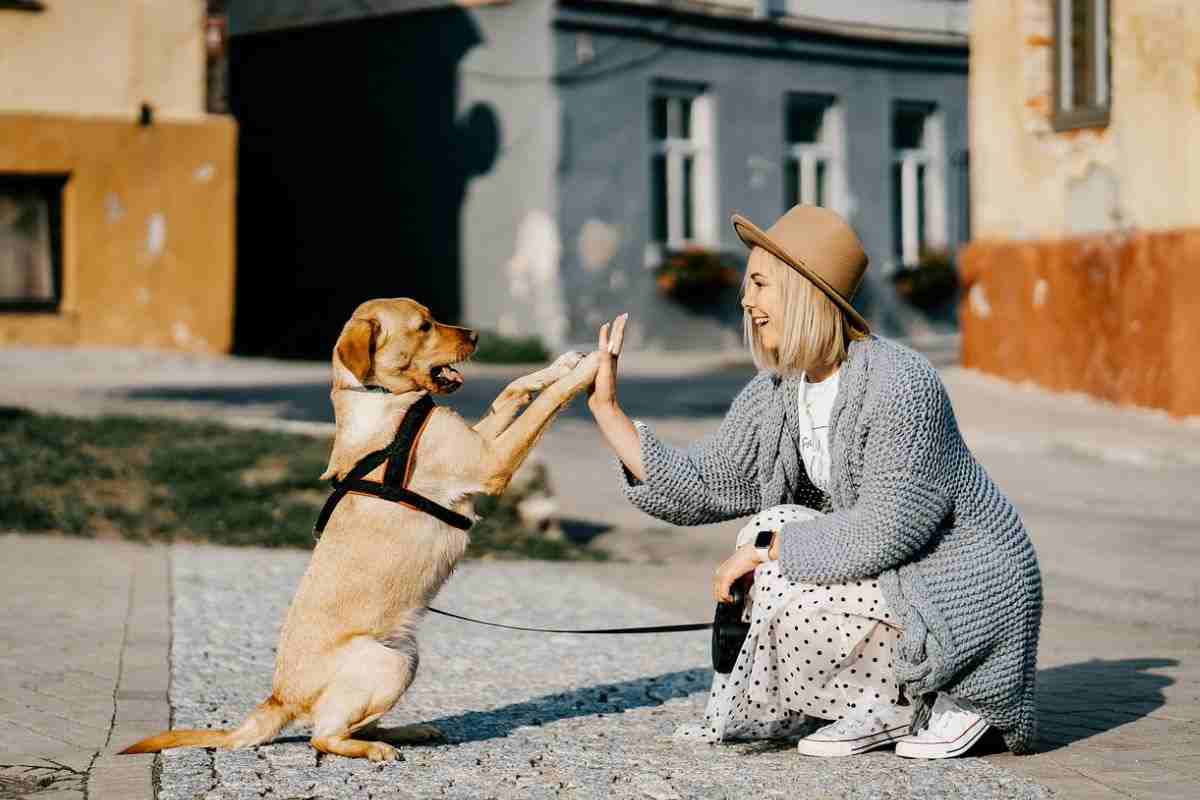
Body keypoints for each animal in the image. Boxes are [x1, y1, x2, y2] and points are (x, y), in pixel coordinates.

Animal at [121, 297, 600, 762]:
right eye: (424, 326)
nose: (477, 335)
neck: (383, 399)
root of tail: (278, 698)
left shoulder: (480, 441)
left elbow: (513, 389)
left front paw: (563, 363)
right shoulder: (489, 461)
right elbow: (544, 405)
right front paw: (591, 368)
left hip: (406, 656)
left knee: (351, 724)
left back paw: (408, 731)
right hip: (387, 664)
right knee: (324, 736)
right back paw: (374, 749)